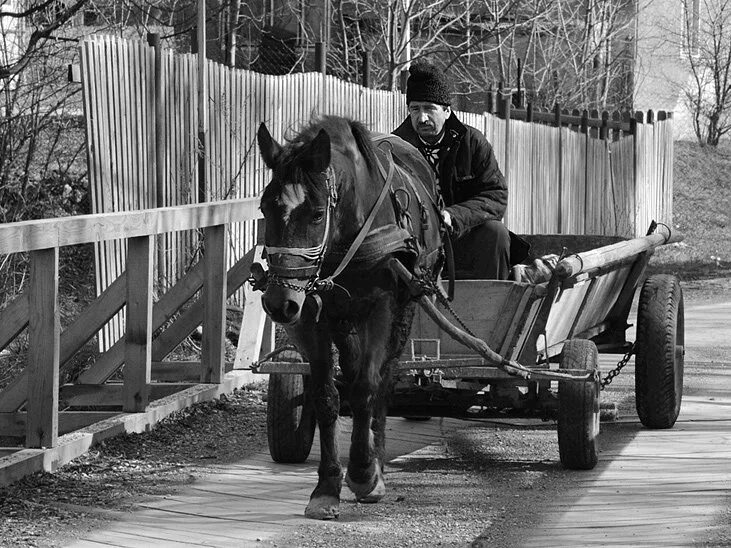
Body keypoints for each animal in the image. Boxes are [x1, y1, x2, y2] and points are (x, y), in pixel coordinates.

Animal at [254, 114, 444, 520]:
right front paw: (327, 487)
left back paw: (376, 462)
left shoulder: (381, 308)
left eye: (316, 213)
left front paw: (362, 472)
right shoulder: (311, 315)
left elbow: (366, 388)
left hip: (403, 310)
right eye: (264, 209)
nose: (279, 303)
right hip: (343, 321)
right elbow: (326, 396)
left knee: (383, 379)